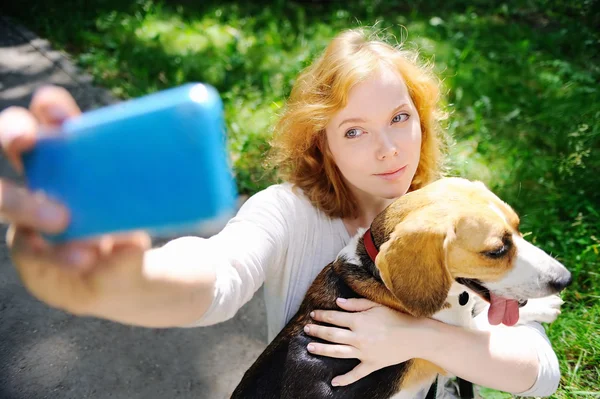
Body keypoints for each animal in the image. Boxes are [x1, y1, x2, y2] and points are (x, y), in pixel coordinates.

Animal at [231, 179, 572, 399]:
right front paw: (544, 306)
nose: (565, 279)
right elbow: (488, 326)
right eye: (497, 251)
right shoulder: (444, 352)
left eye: (518, 228)